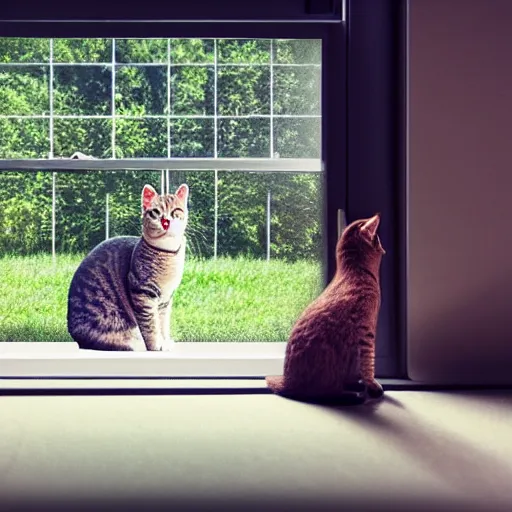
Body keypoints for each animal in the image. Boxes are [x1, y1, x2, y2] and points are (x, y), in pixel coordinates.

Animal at [67, 184, 189, 352]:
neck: (167, 255)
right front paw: (156, 345)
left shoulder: (165, 299)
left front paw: (165, 342)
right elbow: (151, 326)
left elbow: (163, 324)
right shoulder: (142, 293)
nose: (165, 221)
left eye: (175, 211)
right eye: (156, 212)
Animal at [268, 212, 384, 404]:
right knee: (328, 393)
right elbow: (369, 365)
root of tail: (288, 381)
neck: (355, 271)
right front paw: (373, 385)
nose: (383, 249)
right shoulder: (367, 333)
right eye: (379, 239)